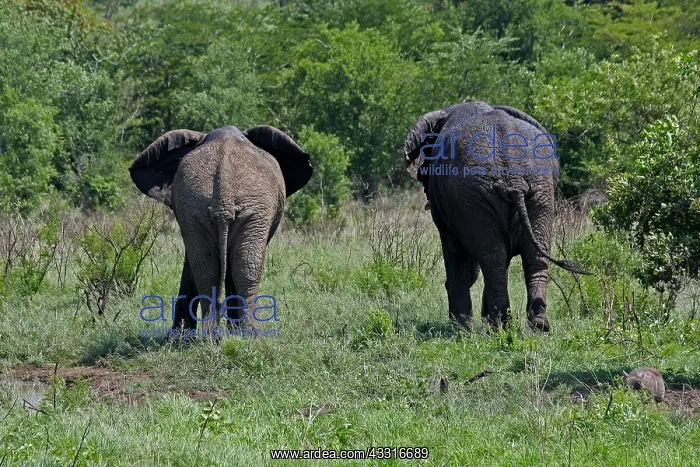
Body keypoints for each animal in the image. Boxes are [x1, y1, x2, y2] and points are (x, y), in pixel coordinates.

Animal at [130, 125, 312, 333]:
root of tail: (222, 197)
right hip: (243, 210)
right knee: (237, 267)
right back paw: (245, 335)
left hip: (207, 209)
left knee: (212, 270)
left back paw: (215, 336)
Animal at [403, 101, 586, 332]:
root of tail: (514, 179)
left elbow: (455, 253)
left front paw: (461, 329)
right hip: (538, 189)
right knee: (529, 256)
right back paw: (535, 325)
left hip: (479, 195)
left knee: (493, 259)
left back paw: (502, 327)